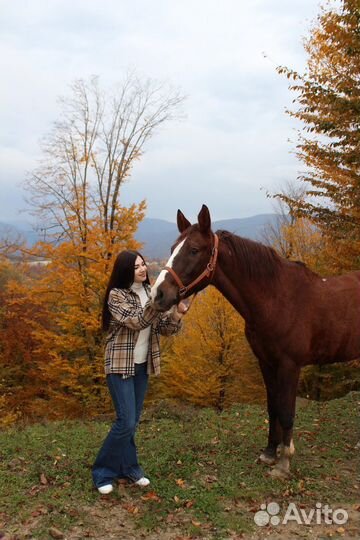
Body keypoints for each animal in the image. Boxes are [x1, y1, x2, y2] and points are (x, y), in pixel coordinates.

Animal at [150, 204, 360, 476]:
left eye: (194, 250)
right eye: (172, 248)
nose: (157, 294)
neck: (276, 299)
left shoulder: (290, 366)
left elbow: (287, 411)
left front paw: (283, 463)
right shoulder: (266, 362)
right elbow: (272, 407)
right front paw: (270, 453)